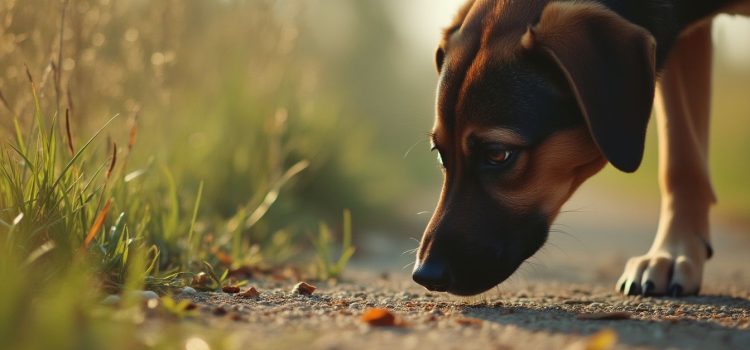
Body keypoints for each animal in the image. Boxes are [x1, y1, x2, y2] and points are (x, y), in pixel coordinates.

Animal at [414, 0, 748, 298]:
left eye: (498, 153)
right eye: (440, 153)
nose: (425, 275)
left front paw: (673, 253)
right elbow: (681, 160)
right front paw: (673, 253)